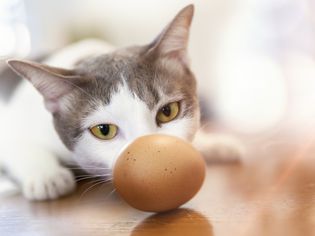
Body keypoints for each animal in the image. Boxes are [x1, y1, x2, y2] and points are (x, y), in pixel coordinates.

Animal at [0, 5, 244, 201]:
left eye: (168, 111)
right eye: (103, 130)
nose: (153, 158)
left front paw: (212, 143)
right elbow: (18, 144)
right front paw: (46, 174)